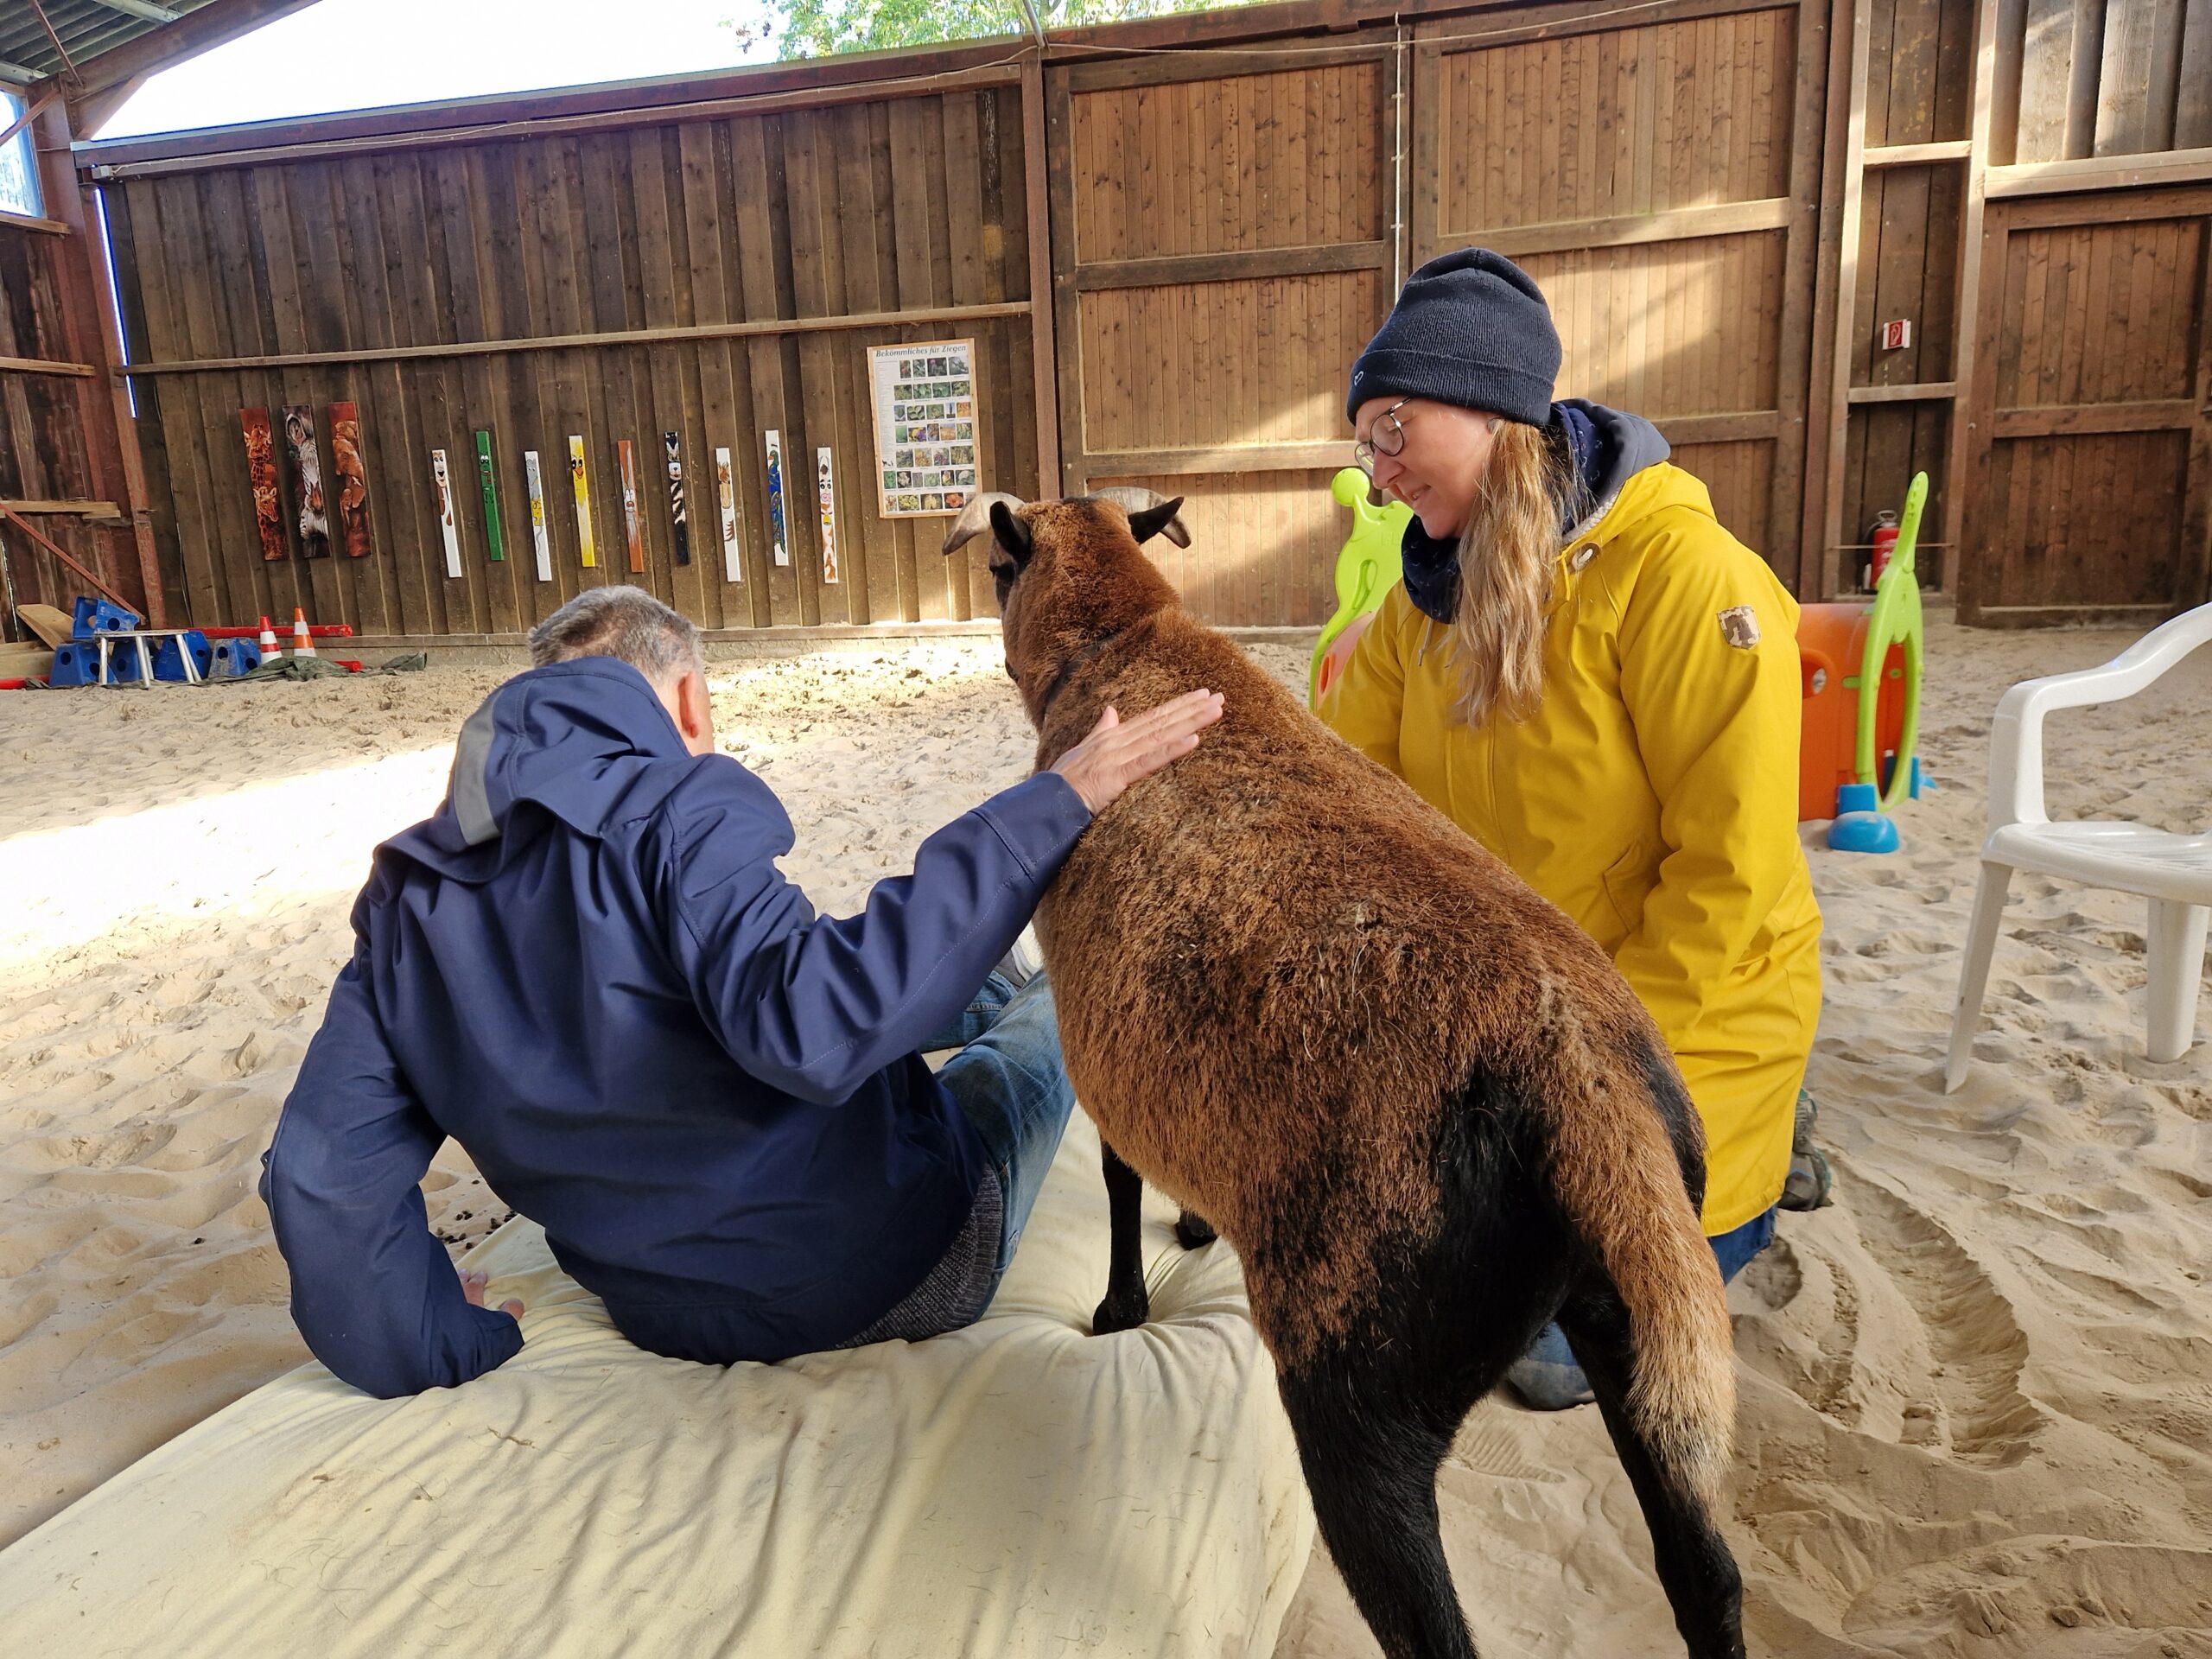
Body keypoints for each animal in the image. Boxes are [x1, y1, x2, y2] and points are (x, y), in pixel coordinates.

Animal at [942, 486, 1751, 1659]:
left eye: (999, 570)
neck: (1123, 637)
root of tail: (1579, 1078)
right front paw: (1196, 1227)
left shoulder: (1100, 1050)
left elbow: (1120, 1177)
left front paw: (1122, 1306)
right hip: (1628, 1324)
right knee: (1704, 1577)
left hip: (1359, 1396)